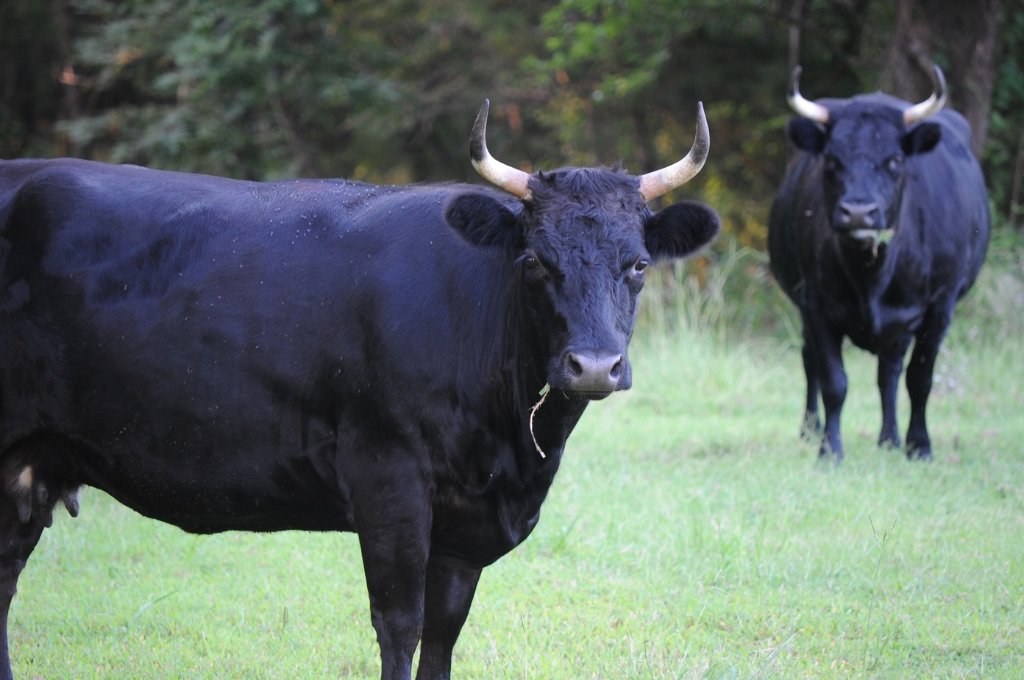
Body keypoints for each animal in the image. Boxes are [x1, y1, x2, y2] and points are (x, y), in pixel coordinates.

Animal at [0, 99, 718, 680]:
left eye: (638, 264)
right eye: (536, 262)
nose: (594, 366)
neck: (509, 454)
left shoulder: (465, 526)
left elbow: (442, 635)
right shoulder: (386, 476)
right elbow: (399, 625)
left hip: (28, 466)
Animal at [768, 65, 990, 461]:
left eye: (895, 161)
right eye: (832, 160)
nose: (858, 212)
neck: (871, 275)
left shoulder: (940, 307)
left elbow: (920, 378)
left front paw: (919, 444)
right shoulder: (816, 305)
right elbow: (834, 382)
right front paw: (830, 450)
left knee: (889, 372)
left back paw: (890, 438)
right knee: (811, 362)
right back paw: (812, 429)